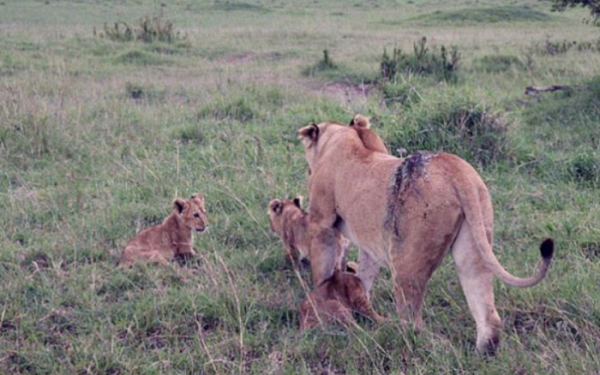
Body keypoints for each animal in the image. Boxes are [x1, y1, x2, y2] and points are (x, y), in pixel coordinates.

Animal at [298, 116, 556, 354]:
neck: (344, 134)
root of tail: (457, 171)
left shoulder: (321, 222)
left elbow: (322, 270)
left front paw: (320, 301)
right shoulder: (368, 243)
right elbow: (365, 275)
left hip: (407, 260)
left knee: (413, 321)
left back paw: (399, 341)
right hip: (474, 245)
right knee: (488, 316)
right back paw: (482, 354)